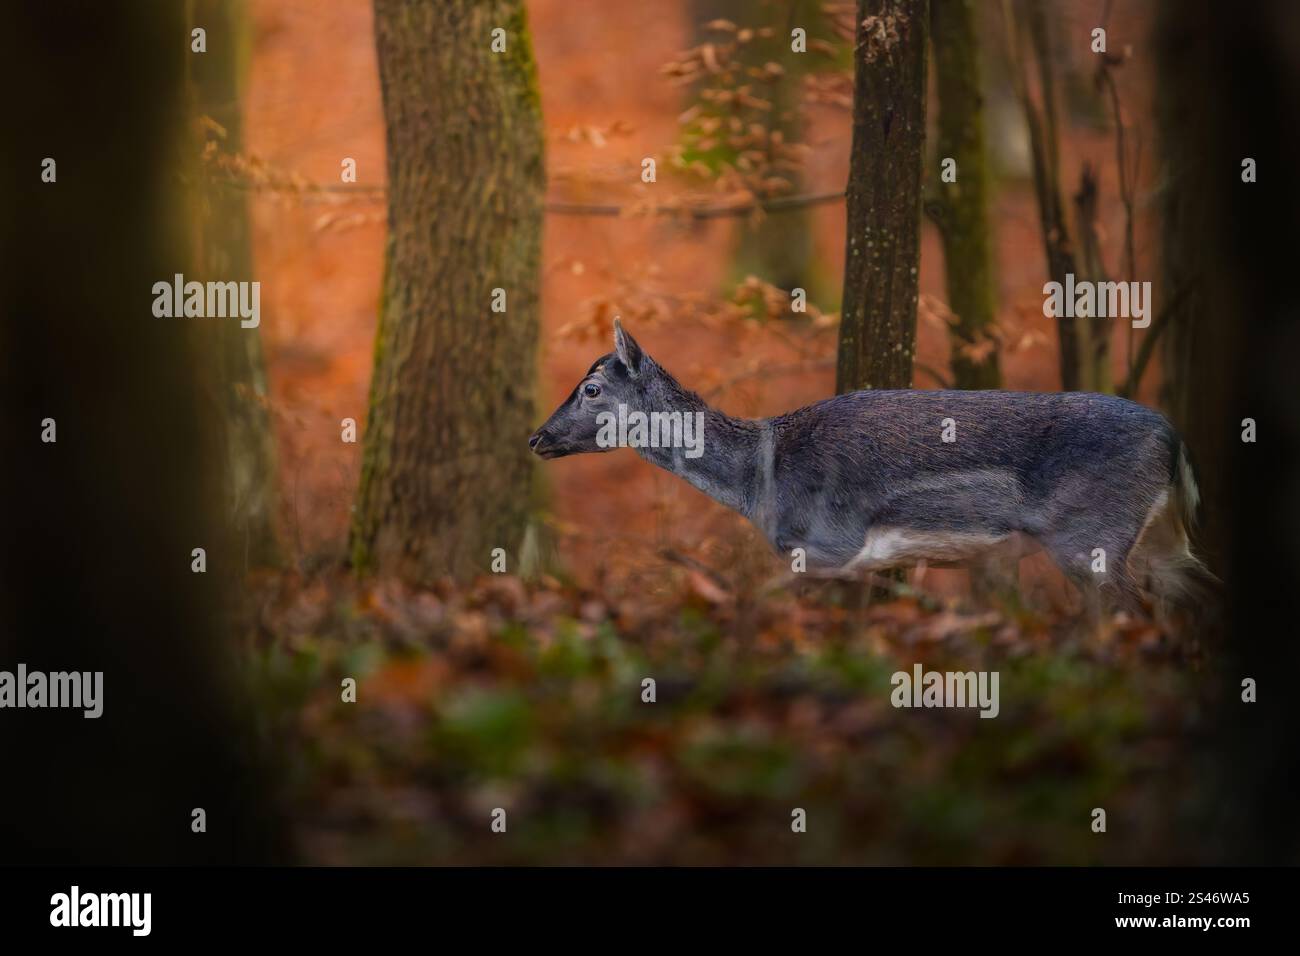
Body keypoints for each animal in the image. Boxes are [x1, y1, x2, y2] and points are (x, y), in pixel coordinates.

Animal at [530, 319, 1213, 618]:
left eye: (591, 388)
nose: (536, 437)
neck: (762, 479)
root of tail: (1174, 439)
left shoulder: (827, 543)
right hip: (1161, 539)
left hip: (1089, 536)